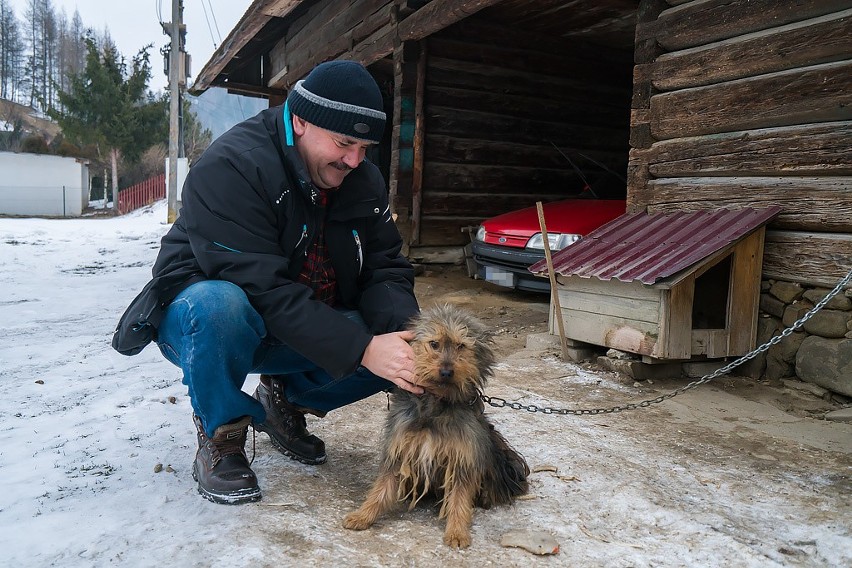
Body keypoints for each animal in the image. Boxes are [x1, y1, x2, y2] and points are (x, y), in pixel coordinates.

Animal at [342, 304, 528, 548]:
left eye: (461, 345)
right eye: (434, 344)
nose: (447, 372)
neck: (436, 404)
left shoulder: (463, 457)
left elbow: (459, 498)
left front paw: (457, 532)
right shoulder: (399, 448)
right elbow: (381, 488)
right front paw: (363, 515)